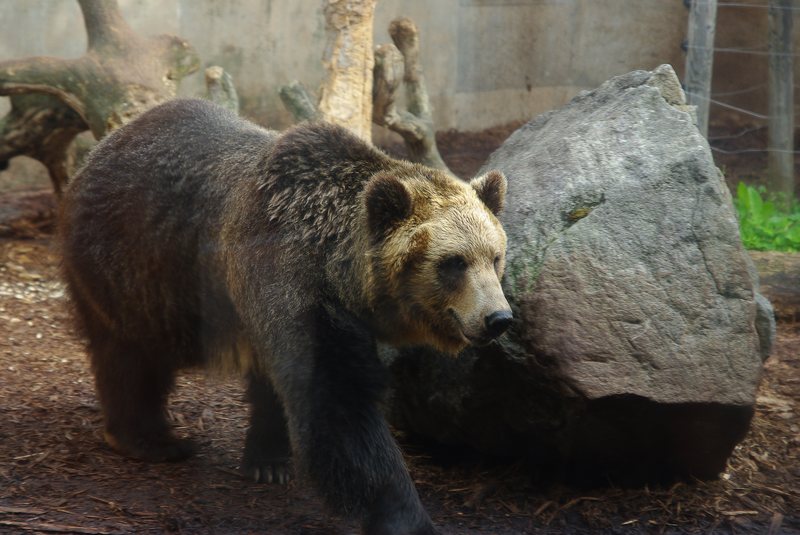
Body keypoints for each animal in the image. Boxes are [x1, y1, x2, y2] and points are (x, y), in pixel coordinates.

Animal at [59, 99, 516, 535]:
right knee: (130, 355)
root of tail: (105, 145)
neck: (339, 270)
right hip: (133, 265)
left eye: (495, 257)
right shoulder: (286, 277)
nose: (497, 318)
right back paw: (149, 439)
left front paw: (270, 461)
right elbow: (337, 405)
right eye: (453, 262)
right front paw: (404, 515)